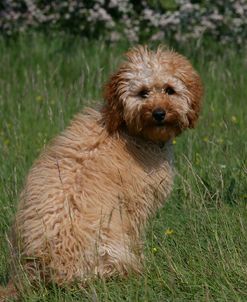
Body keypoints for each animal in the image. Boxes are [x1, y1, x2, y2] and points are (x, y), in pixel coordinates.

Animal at [6, 45, 203, 292]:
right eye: (143, 93)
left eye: (170, 90)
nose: (159, 113)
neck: (127, 129)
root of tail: (43, 267)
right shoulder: (135, 207)